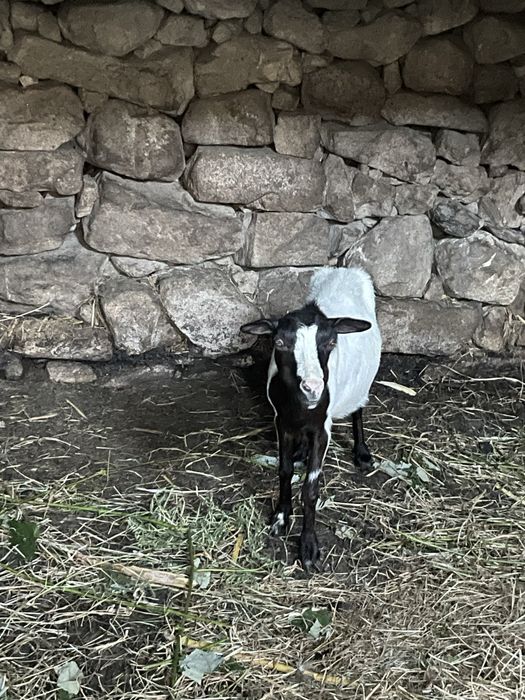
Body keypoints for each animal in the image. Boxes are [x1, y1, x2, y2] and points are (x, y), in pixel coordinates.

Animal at [241, 267, 381, 571]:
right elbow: (284, 471)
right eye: (279, 342)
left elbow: (310, 488)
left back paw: (362, 453)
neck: (300, 408)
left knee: (359, 406)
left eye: (331, 342)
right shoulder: (281, 422)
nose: (313, 388)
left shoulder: (322, 428)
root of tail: (345, 269)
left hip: (364, 381)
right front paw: (281, 517)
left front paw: (308, 548)